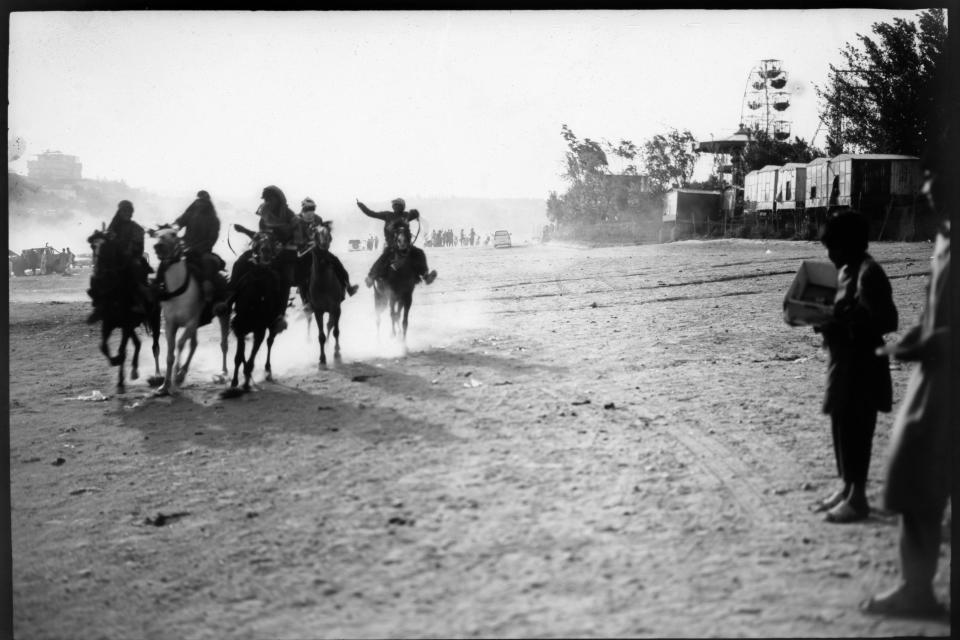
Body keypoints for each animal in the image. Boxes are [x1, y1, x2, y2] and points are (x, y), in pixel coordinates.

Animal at [87, 228, 162, 392]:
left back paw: (157, 375)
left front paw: (119, 366)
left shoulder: (126, 325)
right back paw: (132, 372)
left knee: (155, 347)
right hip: (130, 327)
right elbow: (104, 347)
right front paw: (117, 368)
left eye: (106, 247)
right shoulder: (109, 324)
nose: (97, 267)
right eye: (93, 246)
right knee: (138, 343)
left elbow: (122, 350)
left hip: (155, 320)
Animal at [151, 225, 232, 396]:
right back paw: (183, 373)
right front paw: (165, 385)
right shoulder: (171, 324)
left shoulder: (191, 322)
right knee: (194, 344)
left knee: (224, 344)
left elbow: (181, 344)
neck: (178, 291)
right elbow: (170, 354)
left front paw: (175, 379)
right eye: (156, 235)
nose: (158, 246)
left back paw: (223, 373)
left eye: (173, 234)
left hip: (224, 314)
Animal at [220, 225, 288, 396]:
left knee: (270, 341)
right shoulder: (240, 328)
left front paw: (245, 383)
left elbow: (250, 359)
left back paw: (267, 371)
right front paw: (235, 382)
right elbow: (239, 357)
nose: (265, 250)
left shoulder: (259, 330)